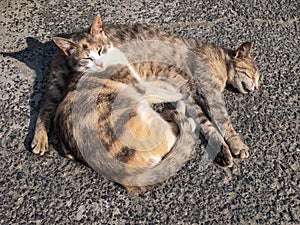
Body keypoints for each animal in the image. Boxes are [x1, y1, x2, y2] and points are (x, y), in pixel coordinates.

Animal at [31, 14, 258, 188]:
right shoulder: (208, 93)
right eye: (254, 74)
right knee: (46, 107)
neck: (219, 60)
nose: (256, 87)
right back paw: (40, 139)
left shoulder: (192, 97)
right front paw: (236, 144)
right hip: (59, 83)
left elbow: (208, 125)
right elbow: (222, 121)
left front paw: (221, 149)